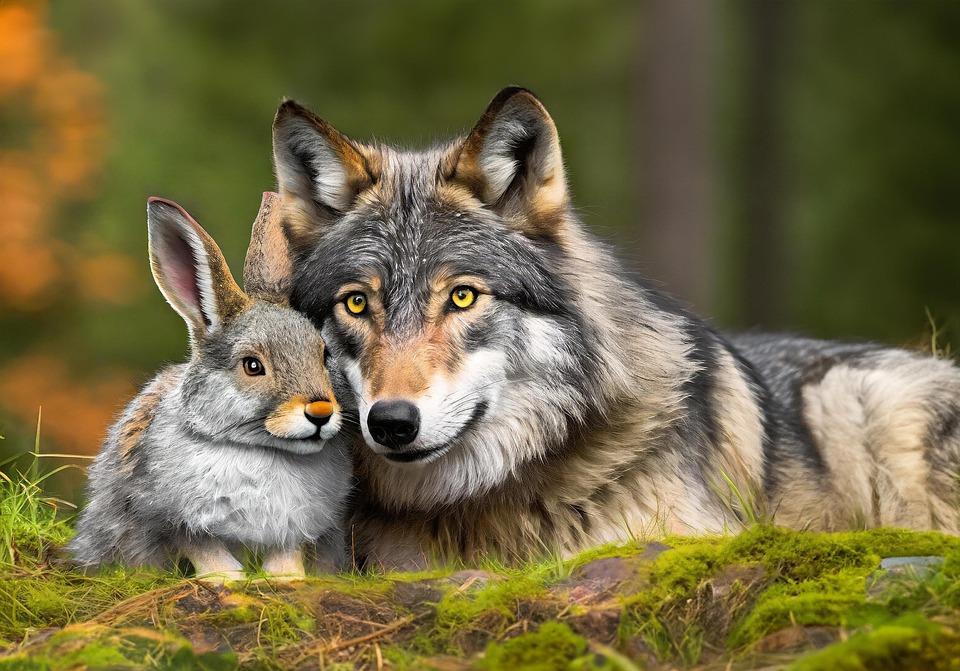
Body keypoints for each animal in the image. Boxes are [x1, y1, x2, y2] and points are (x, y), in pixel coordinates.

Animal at [69, 192, 351, 581]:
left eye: (324, 354)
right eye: (252, 366)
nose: (321, 412)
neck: (257, 449)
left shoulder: (295, 526)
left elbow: (287, 550)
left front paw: (287, 578)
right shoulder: (171, 517)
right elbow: (204, 548)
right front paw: (227, 579)